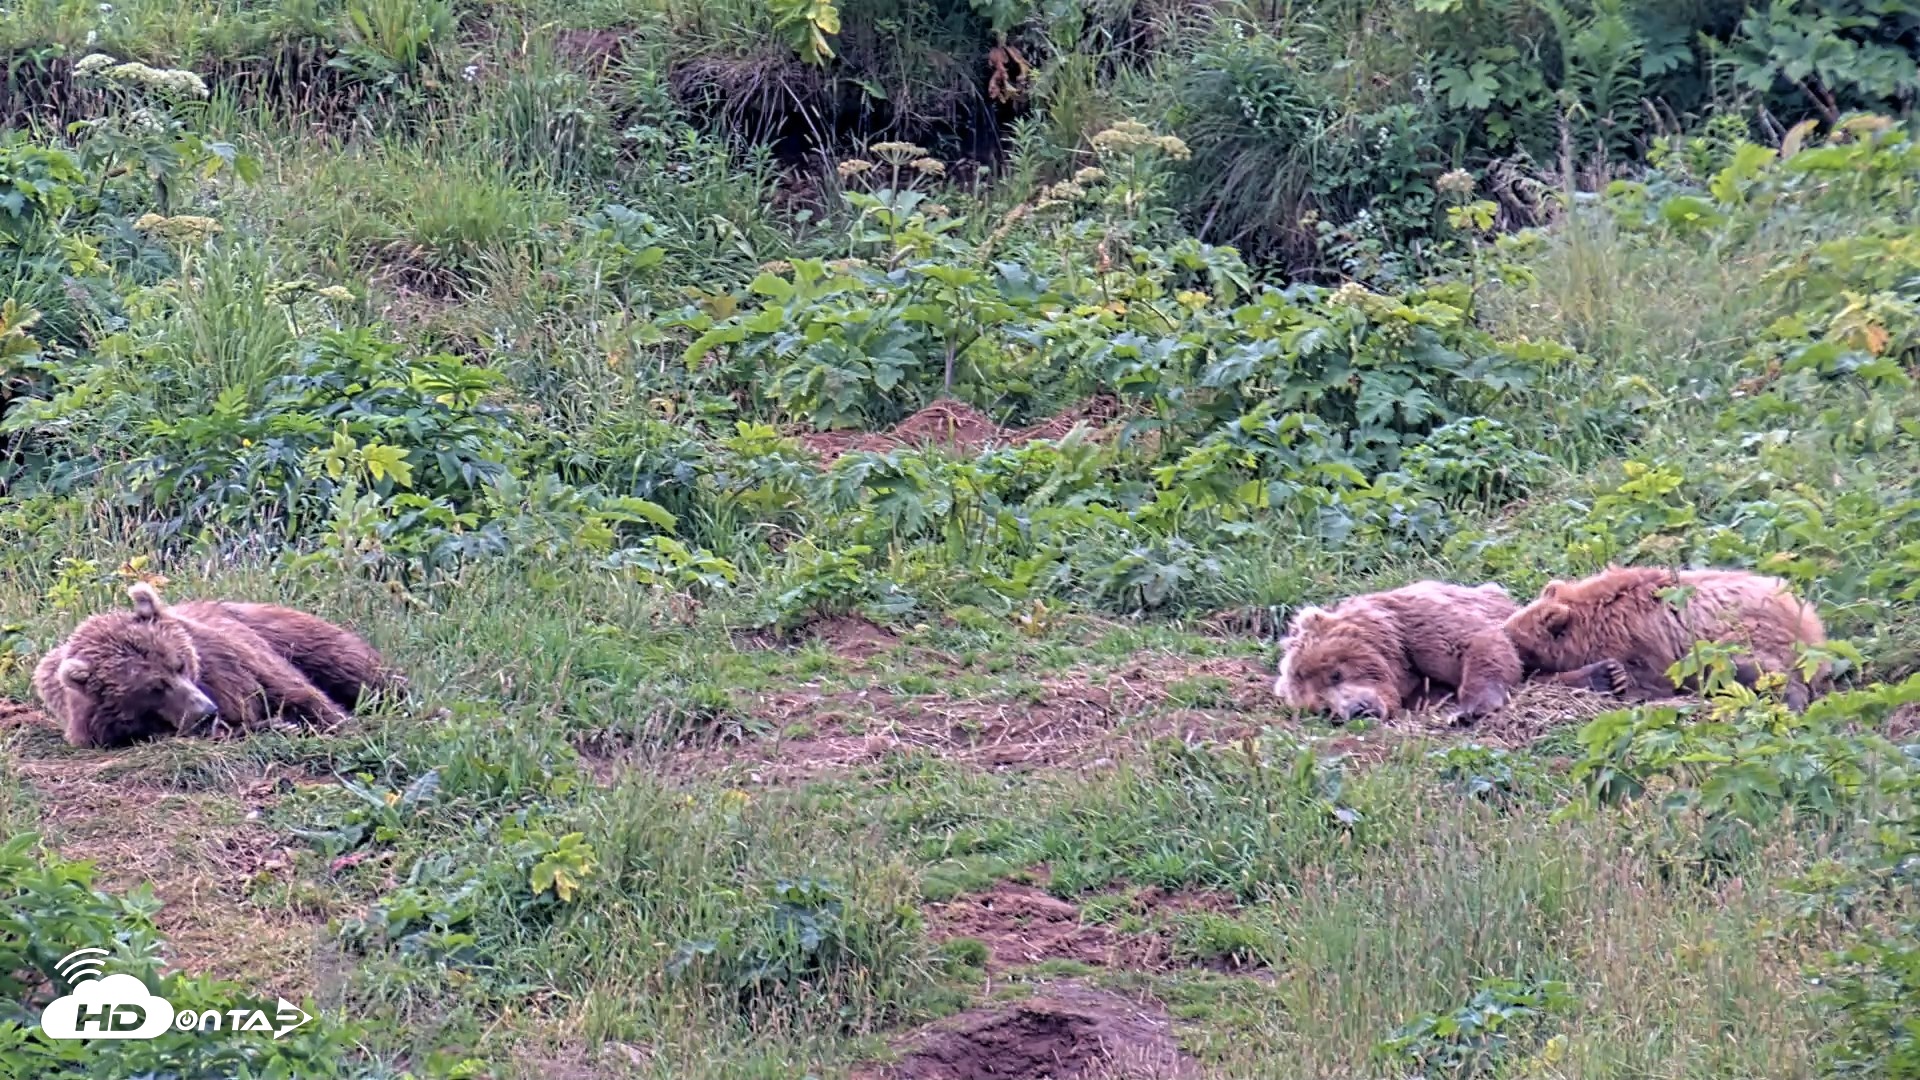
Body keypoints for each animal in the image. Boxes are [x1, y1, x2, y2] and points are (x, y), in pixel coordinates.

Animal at [32, 582, 401, 749]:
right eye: (153, 687)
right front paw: (278, 726)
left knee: (350, 665)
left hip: (283, 631)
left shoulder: (232, 659)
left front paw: (330, 721)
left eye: (179, 664)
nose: (205, 711)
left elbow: (293, 691)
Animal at [1273, 580, 1629, 723]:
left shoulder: (1419, 623)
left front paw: (1470, 708)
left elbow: (1480, 645)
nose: (1358, 710)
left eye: (1335, 673)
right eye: (1324, 708)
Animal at [1502, 565, 1828, 711]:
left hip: (1736, 640)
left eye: (1518, 644)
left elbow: (1643, 682)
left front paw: (1610, 677)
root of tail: (1811, 622)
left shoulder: (1639, 646)